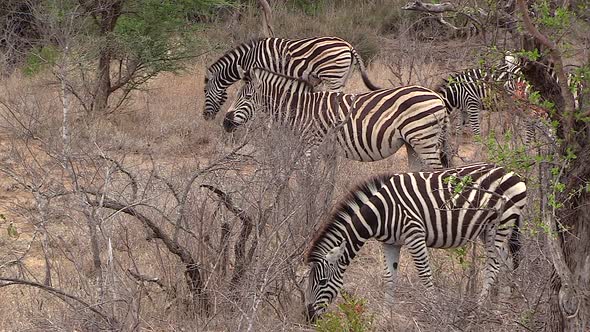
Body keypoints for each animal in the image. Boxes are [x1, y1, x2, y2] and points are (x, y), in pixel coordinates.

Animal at [204, 36, 382, 120]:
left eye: (205, 91)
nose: (205, 117)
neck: (248, 57)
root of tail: (348, 46)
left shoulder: (258, 73)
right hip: (343, 77)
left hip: (333, 77)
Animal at [224, 68, 450, 171]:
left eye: (247, 97)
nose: (225, 123)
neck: (303, 109)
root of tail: (437, 96)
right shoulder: (329, 153)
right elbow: (325, 189)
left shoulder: (311, 148)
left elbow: (308, 186)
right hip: (412, 144)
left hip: (424, 141)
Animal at [306, 163, 528, 322]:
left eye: (322, 282)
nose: (308, 318)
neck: (380, 213)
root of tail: (512, 173)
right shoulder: (391, 243)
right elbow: (389, 277)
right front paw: (386, 317)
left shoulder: (415, 235)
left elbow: (425, 275)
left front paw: (435, 310)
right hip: (489, 229)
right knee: (506, 263)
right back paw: (502, 306)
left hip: (500, 224)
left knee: (494, 265)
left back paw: (479, 308)